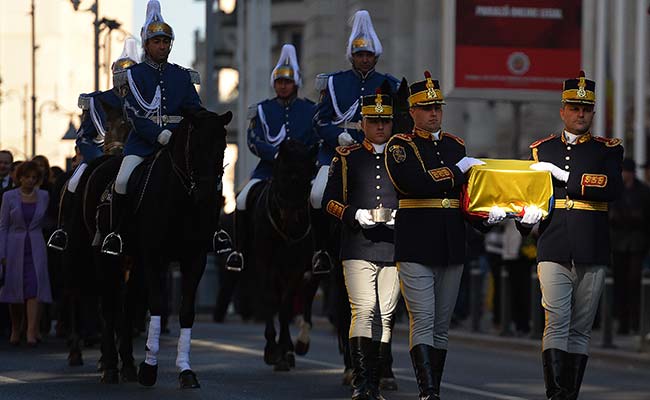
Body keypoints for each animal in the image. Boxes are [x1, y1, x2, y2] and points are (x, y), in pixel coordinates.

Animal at [115, 107, 232, 388]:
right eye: (195, 146)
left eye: (222, 147)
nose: (207, 197)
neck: (182, 201)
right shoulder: (153, 256)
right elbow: (157, 304)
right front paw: (149, 369)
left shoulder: (195, 258)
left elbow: (186, 310)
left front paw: (185, 370)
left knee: (130, 299)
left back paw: (128, 363)